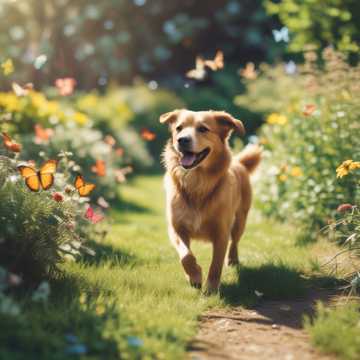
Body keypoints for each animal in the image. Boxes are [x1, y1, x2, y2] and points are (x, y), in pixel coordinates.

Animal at [160, 110, 262, 296]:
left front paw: (211, 289)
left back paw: (233, 259)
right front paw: (194, 276)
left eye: (203, 129)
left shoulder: (221, 233)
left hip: (240, 220)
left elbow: (216, 264)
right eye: (179, 128)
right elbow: (186, 256)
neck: (197, 183)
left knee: (235, 241)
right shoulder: (176, 228)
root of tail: (239, 162)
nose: (182, 140)